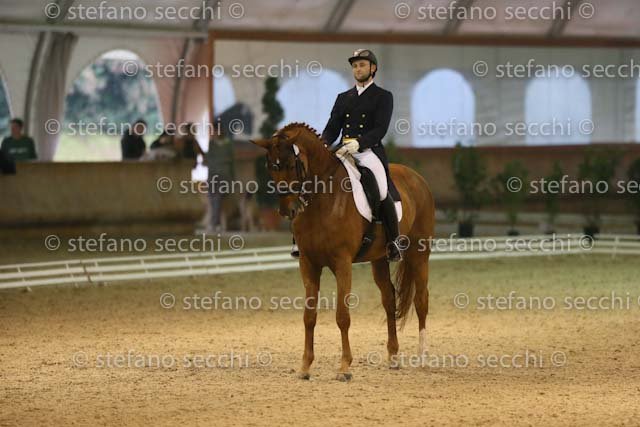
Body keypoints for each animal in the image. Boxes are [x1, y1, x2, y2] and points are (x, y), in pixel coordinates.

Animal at [251, 123, 435, 381]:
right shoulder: (308, 263)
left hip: (419, 254)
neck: (322, 198)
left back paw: (423, 357)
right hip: (380, 259)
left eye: (291, 164)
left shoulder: (342, 263)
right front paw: (305, 367)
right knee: (389, 299)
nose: (288, 210)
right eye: (270, 166)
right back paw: (393, 357)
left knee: (421, 300)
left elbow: (342, 316)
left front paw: (344, 368)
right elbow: (309, 316)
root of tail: (417, 178)